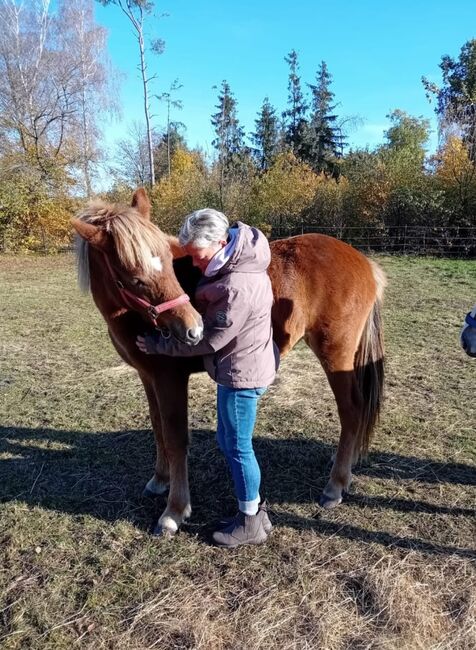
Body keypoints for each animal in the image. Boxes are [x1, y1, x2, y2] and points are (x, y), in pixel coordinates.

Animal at [73, 187, 386, 532]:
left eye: (168, 262)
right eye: (133, 279)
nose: (193, 329)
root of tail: (363, 262)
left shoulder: (170, 378)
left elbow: (176, 437)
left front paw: (174, 511)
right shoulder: (147, 376)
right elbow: (158, 428)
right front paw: (159, 480)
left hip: (336, 355)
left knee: (352, 410)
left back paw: (335, 485)